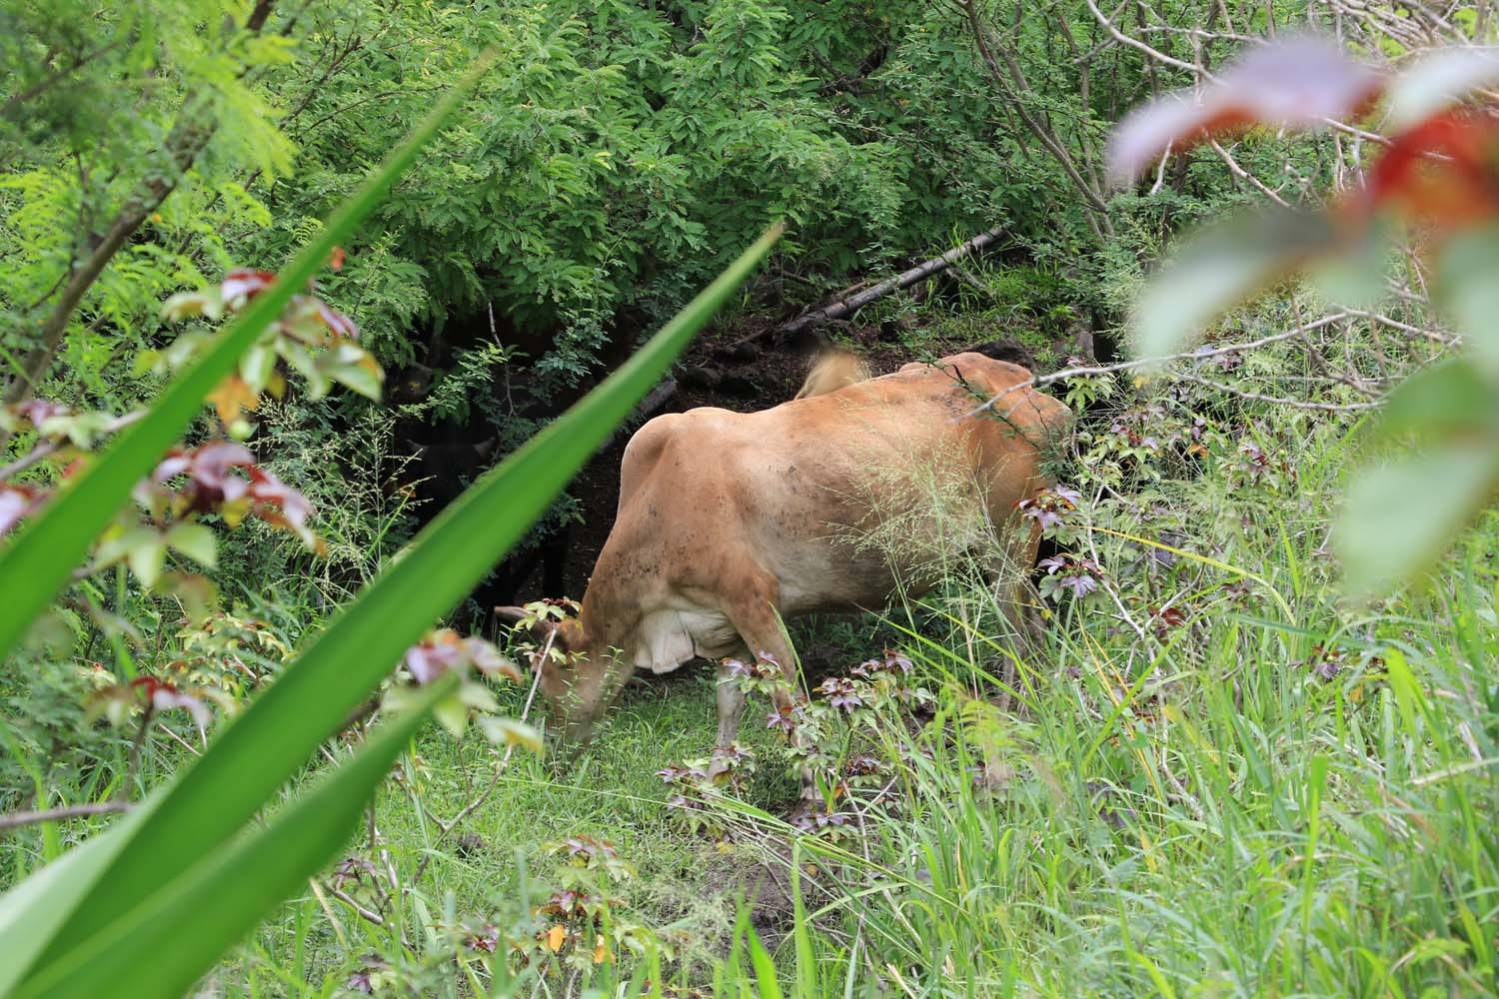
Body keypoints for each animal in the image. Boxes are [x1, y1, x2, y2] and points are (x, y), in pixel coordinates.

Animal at [497, 348, 1073, 747]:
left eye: (546, 681)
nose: (551, 748)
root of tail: (1037, 393)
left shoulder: (756, 603)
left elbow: (789, 705)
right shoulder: (721, 628)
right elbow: (727, 706)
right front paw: (715, 787)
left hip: (1009, 541)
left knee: (1015, 632)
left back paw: (1016, 712)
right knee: (1036, 621)